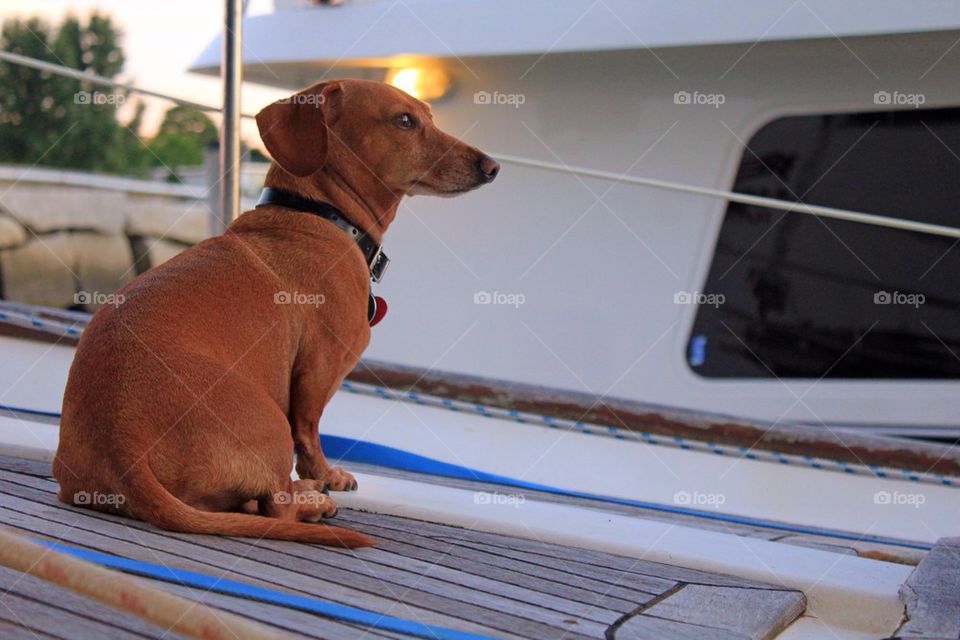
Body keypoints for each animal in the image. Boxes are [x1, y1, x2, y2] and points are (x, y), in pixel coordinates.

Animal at [51, 80, 498, 548]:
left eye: (427, 114)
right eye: (405, 120)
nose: (492, 167)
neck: (320, 214)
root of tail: (123, 449)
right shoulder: (319, 368)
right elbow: (310, 430)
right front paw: (326, 475)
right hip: (272, 426)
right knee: (277, 505)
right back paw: (313, 500)